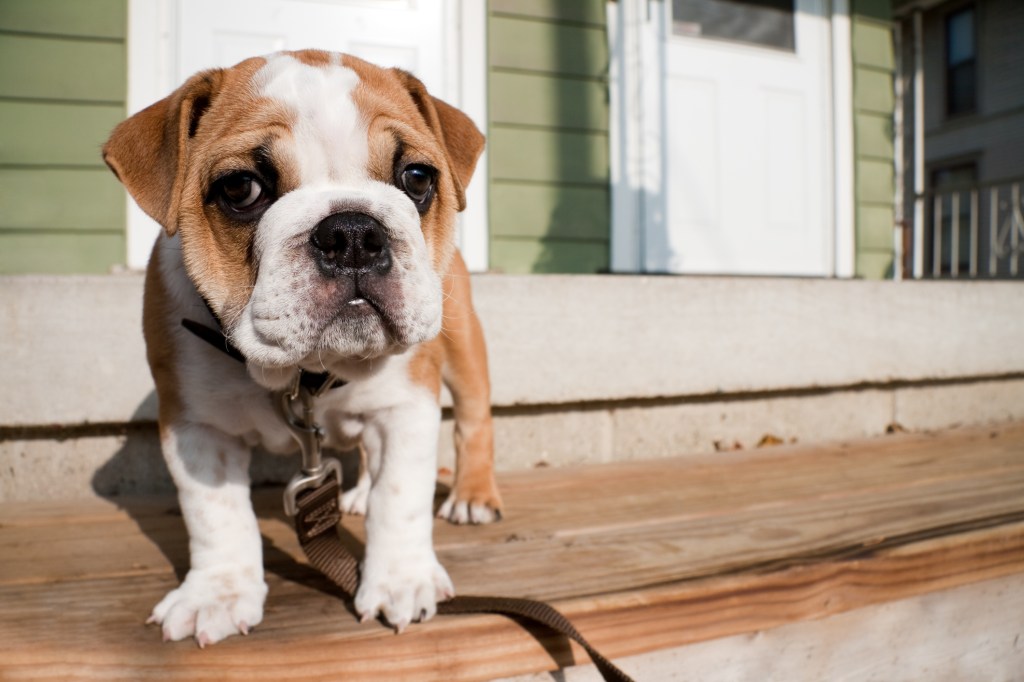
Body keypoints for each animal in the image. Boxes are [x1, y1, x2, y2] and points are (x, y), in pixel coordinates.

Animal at [102, 47, 499, 643]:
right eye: (240, 188)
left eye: (416, 177)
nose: (353, 232)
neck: (307, 371)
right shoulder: (196, 426)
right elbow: (215, 514)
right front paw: (217, 593)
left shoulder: (406, 405)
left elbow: (400, 495)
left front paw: (401, 580)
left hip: (463, 345)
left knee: (474, 421)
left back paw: (473, 496)